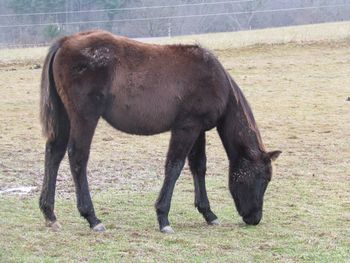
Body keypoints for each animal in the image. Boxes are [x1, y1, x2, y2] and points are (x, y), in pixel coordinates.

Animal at [39, 29, 282, 234]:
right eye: (263, 178)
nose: (255, 218)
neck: (215, 80)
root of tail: (66, 41)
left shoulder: (198, 130)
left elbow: (199, 166)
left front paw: (208, 213)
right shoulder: (186, 128)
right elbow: (174, 167)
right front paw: (163, 217)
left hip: (65, 118)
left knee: (54, 153)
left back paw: (50, 214)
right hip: (85, 118)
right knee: (77, 157)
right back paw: (92, 218)